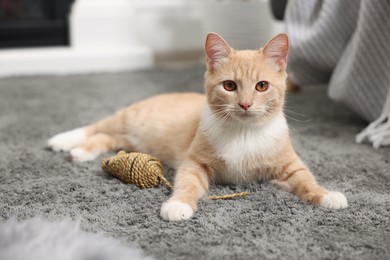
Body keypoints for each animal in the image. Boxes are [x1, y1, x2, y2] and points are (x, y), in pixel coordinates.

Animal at [48, 32, 348, 219]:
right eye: (230, 86)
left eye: (262, 86)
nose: (246, 104)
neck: (243, 133)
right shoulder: (194, 162)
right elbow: (187, 183)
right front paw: (178, 204)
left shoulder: (288, 165)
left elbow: (305, 179)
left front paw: (327, 195)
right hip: (129, 118)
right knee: (97, 126)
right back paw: (64, 141)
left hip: (130, 140)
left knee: (106, 137)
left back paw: (80, 151)